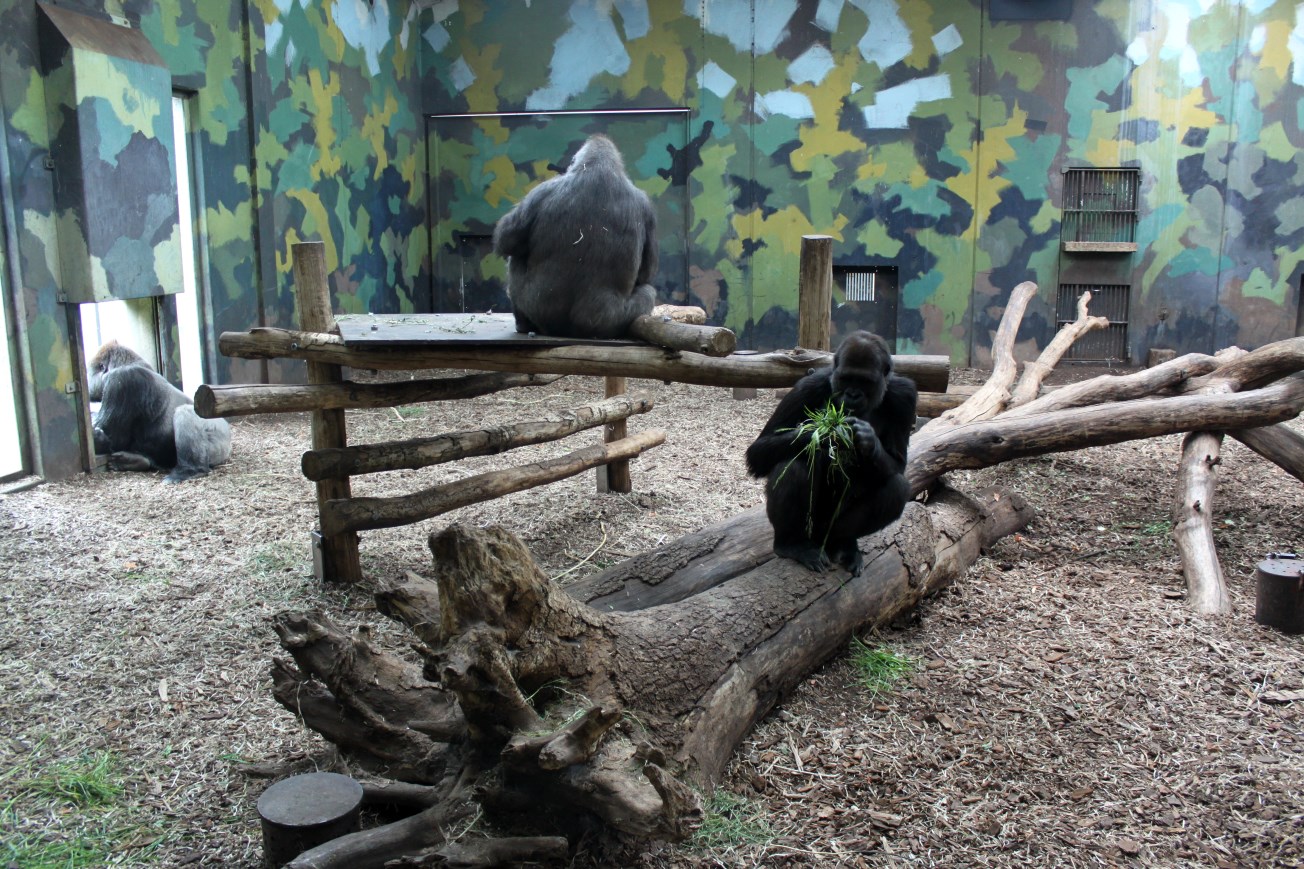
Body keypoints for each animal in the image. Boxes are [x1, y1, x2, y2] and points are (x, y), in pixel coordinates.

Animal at [87, 341, 231, 483]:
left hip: (220, 442)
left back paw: (190, 470)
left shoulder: (122, 379)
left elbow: (113, 439)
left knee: (184, 412)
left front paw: (97, 437)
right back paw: (136, 461)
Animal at [745, 331, 917, 576]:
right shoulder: (807, 386)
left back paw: (843, 544)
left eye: (864, 381)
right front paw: (822, 434)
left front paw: (867, 440)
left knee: (896, 489)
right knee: (794, 465)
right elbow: (758, 451)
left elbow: (899, 463)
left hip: (826, 529)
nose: (852, 395)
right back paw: (791, 544)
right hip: (809, 528)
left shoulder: (905, 395)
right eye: (846, 378)